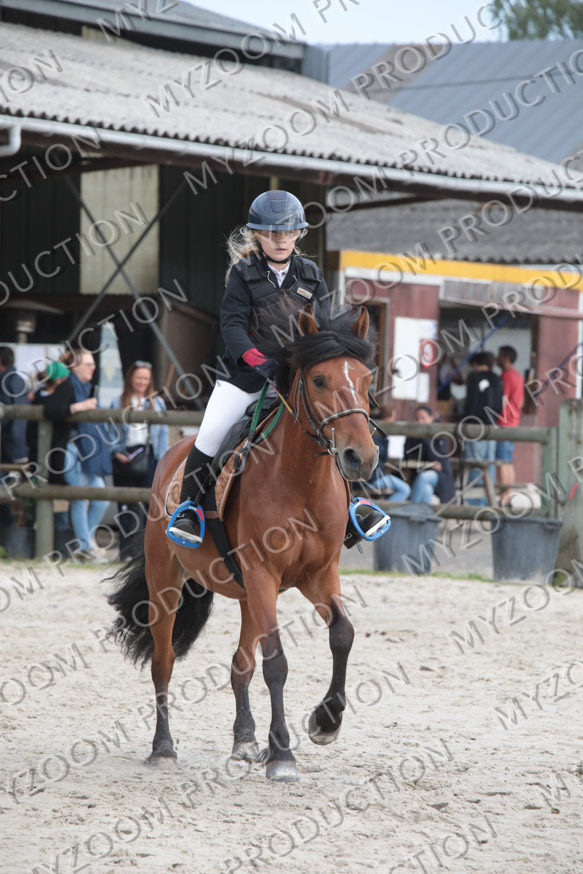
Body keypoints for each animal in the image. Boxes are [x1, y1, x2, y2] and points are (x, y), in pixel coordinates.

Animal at [108, 303, 379, 782]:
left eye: (366, 380)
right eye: (319, 380)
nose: (359, 458)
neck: (301, 481)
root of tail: (171, 455)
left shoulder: (318, 575)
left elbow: (342, 635)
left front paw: (325, 722)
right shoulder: (263, 573)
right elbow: (277, 662)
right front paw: (283, 755)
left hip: (248, 594)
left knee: (240, 664)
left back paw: (245, 740)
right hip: (167, 582)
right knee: (164, 662)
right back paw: (163, 747)